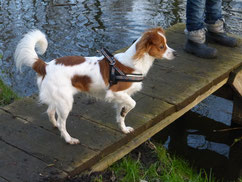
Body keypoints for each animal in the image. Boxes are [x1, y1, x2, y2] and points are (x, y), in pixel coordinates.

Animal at [14, 27, 176, 144]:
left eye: (166, 44)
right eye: (162, 47)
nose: (175, 53)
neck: (133, 63)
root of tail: (45, 65)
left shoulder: (121, 97)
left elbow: (121, 116)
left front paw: (123, 128)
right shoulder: (115, 92)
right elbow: (132, 104)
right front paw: (126, 112)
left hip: (59, 98)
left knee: (50, 112)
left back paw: (55, 126)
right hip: (66, 102)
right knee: (62, 122)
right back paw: (69, 139)